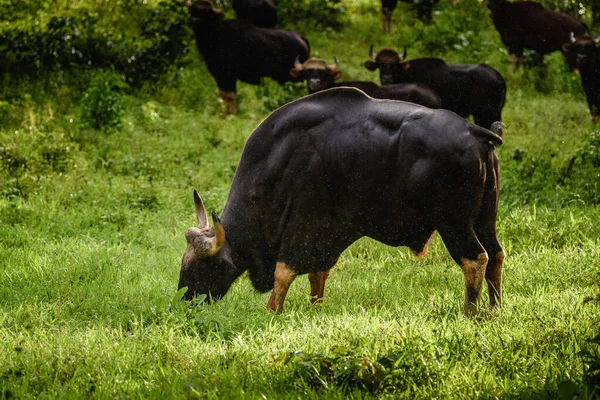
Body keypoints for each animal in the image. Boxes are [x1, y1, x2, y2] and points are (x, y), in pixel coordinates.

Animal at [179, 86, 506, 316]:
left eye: (198, 268)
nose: (185, 301)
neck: (280, 161)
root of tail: (475, 131)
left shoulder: (302, 227)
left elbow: (283, 272)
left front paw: (272, 310)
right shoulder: (326, 235)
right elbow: (317, 275)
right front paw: (315, 309)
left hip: (454, 222)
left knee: (475, 258)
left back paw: (471, 313)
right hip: (484, 218)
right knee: (496, 255)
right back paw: (495, 309)